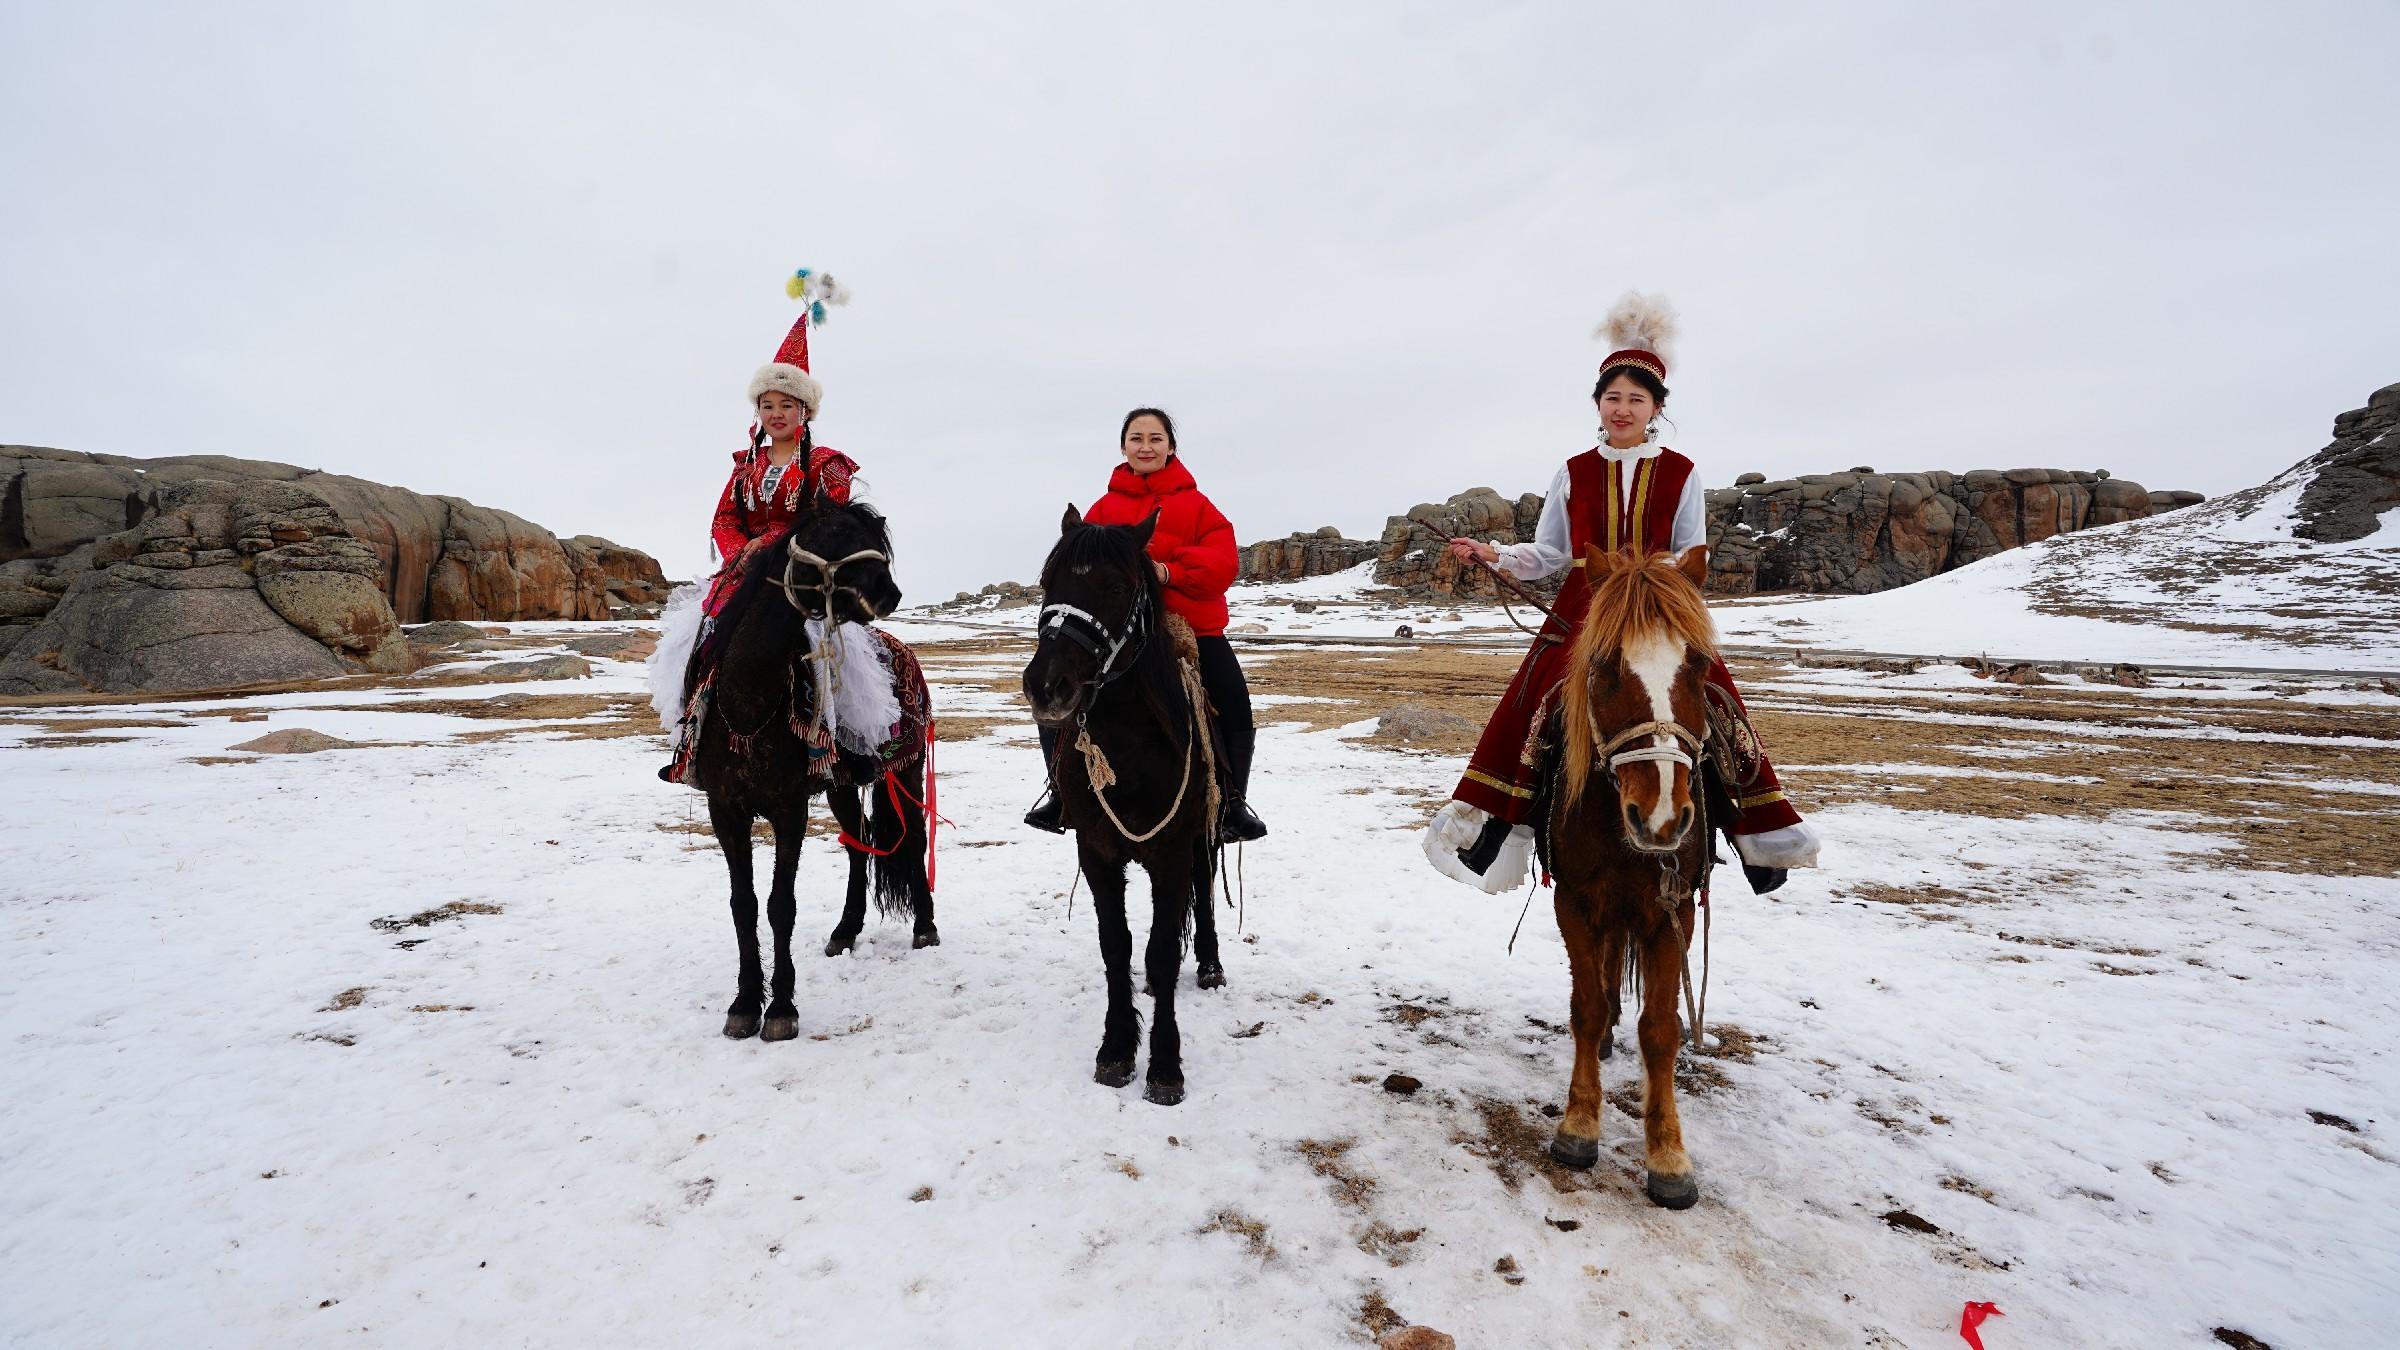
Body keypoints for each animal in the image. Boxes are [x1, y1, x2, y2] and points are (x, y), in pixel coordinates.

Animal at [686, 504, 936, 1042]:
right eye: (835, 532)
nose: (888, 592)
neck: (751, 700)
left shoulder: (789, 809)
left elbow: (781, 904)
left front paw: (781, 1009)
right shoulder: (726, 810)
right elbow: (743, 904)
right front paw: (744, 1004)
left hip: (906, 769)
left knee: (912, 839)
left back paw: (925, 927)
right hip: (841, 785)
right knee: (860, 841)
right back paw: (845, 932)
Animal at [1022, 504, 1228, 1104]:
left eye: (1115, 585)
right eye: (1048, 583)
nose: (1047, 686)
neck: (1131, 745)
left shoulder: (1172, 851)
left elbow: (1160, 953)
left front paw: (1164, 1065)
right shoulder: (1097, 850)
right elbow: (1116, 946)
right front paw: (1116, 1049)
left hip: (1204, 838)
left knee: (1204, 894)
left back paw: (1210, 964)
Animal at [1536, 540, 1728, 1201]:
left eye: (1699, 665)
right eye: (1605, 667)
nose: (1662, 815)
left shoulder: (1672, 911)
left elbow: (1662, 1029)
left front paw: (1669, 1156)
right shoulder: (1572, 900)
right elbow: (1587, 1008)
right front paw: (1578, 1127)